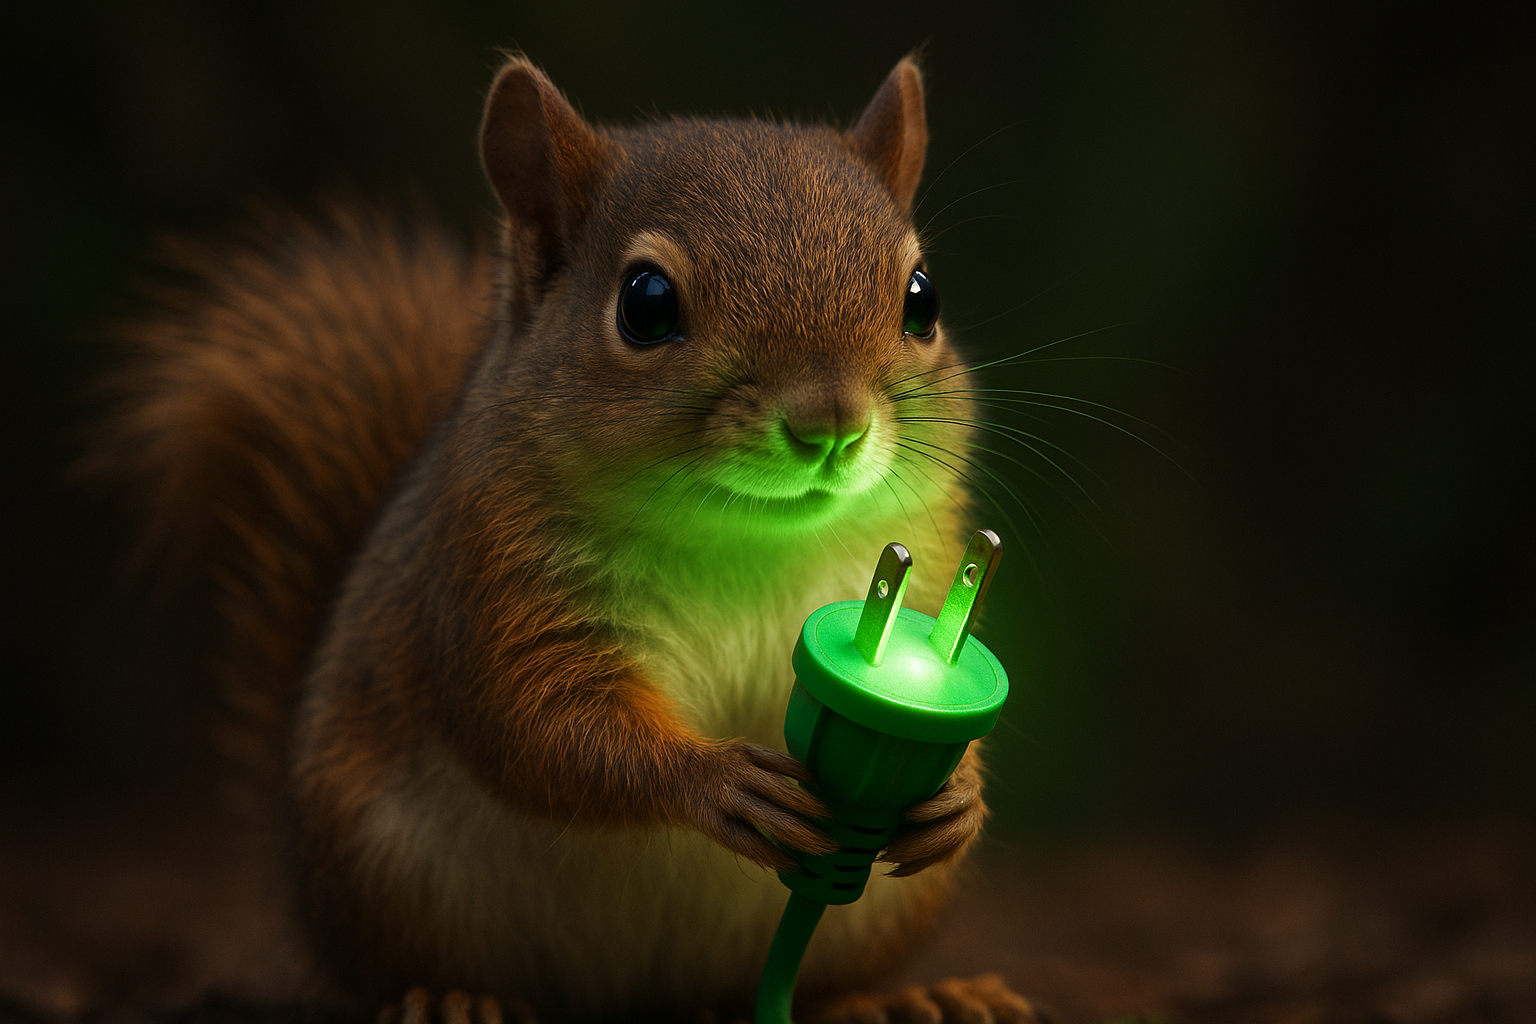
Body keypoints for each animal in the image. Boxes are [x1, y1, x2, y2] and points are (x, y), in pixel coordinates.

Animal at [103, 54, 1040, 1024]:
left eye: (923, 298)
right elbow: (539, 722)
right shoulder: (492, 580)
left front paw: (961, 794)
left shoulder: (921, 560)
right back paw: (455, 999)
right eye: (646, 304)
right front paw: (715, 781)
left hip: (874, 917)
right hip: (391, 873)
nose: (831, 426)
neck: (749, 538)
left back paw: (897, 1000)